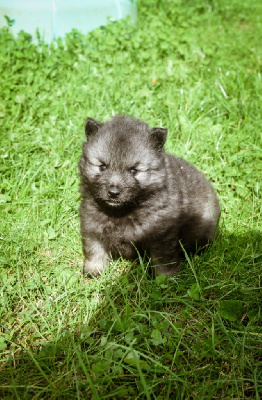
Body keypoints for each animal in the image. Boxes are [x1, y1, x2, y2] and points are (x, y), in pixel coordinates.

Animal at [79, 114, 220, 276]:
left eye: (134, 170)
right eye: (102, 167)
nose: (113, 193)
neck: (122, 212)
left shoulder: (161, 236)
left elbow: (164, 259)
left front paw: (166, 277)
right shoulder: (92, 226)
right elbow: (94, 249)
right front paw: (94, 270)